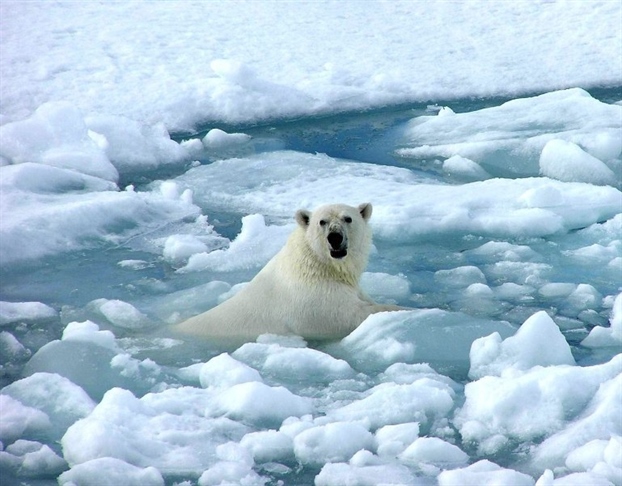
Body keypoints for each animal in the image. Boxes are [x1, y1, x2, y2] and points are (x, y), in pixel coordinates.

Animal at [173, 203, 404, 340]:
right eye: (322, 222)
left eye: (348, 218)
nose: (335, 237)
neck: (319, 266)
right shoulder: (314, 300)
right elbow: (350, 315)